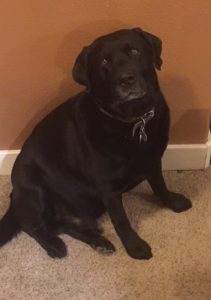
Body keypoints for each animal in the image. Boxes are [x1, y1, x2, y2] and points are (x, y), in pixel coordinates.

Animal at [0, 27, 191, 260]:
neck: (134, 121)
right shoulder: (108, 189)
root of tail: (14, 194)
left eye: (134, 51)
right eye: (104, 62)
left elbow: (160, 185)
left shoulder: (153, 160)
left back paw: (98, 241)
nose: (126, 79)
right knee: (31, 225)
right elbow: (121, 220)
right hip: (33, 187)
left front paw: (173, 202)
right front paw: (135, 246)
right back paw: (54, 245)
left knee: (61, 225)